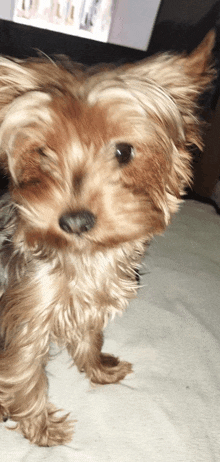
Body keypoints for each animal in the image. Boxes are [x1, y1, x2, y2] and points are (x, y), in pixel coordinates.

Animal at [0, 31, 216, 444]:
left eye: (124, 151)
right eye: (43, 152)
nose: (75, 221)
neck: (86, 256)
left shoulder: (89, 301)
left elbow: (89, 335)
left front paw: (100, 368)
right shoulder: (27, 308)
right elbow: (24, 369)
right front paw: (40, 427)